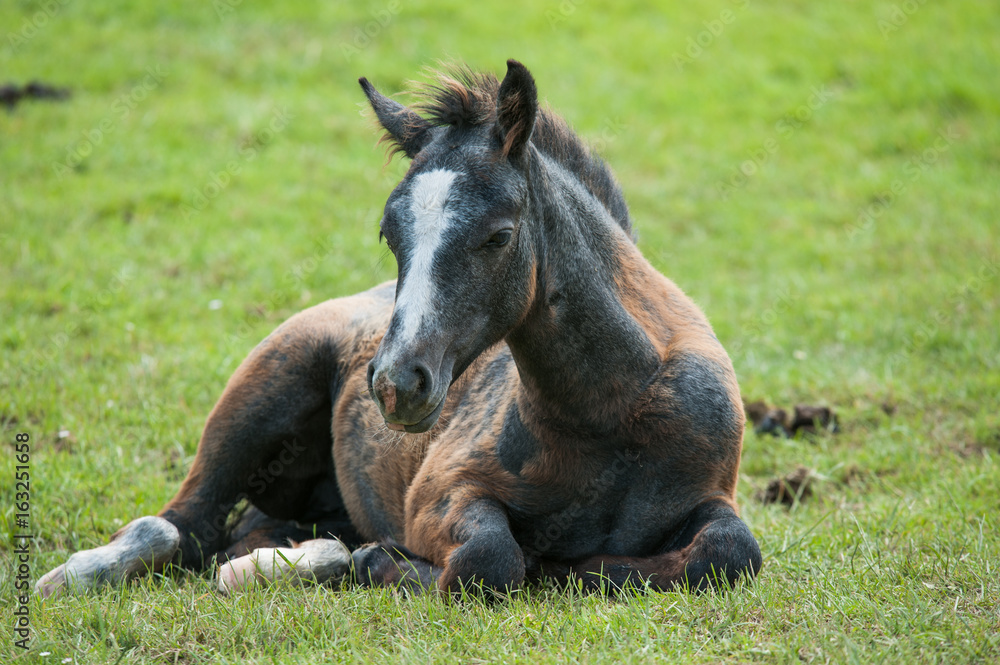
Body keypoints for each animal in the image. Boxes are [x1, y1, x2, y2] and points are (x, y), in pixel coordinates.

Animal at [36, 60, 762, 598]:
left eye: (499, 235)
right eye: (391, 232)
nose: (395, 384)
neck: (614, 413)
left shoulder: (712, 496)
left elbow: (731, 550)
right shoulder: (440, 492)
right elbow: (490, 562)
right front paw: (392, 563)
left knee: (243, 536)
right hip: (261, 388)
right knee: (178, 526)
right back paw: (71, 576)